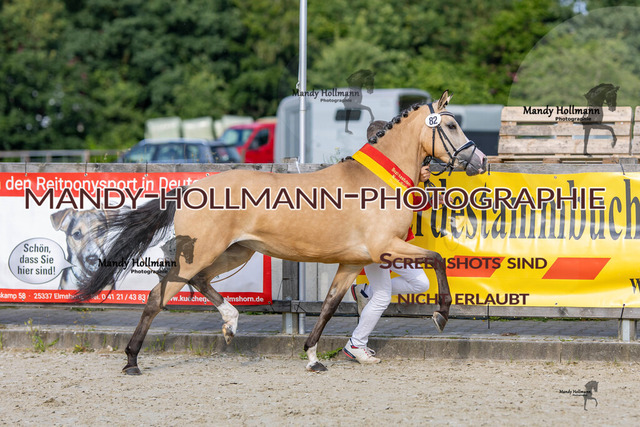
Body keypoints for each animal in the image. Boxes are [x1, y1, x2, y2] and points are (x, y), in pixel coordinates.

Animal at [78, 91, 488, 374]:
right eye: (451, 126)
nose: (480, 160)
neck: (377, 183)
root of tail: (190, 188)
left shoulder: (351, 263)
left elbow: (328, 307)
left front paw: (313, 358)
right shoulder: (385, 248)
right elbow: (438, 259)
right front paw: (441, 315)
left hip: (236, 251)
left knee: (199, 282)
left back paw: (231, 324)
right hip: (202, 252)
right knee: (157, 295)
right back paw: (132, 361)